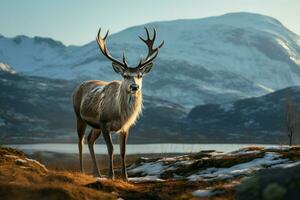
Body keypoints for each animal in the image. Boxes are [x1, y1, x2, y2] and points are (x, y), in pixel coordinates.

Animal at [71, 27, 163, 181]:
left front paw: (125, 177)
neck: (119, 114)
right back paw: (82, 170)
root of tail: (77, 87)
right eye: (125, 75)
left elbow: (123, 151)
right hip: (79, 116)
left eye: (140, 75)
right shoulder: (104, 122)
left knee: (90, 140)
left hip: (95, 126)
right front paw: (111, 175)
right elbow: (111, 148)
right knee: (80, 142)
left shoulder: (125, 127)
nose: (134, 87)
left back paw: (97, 172)